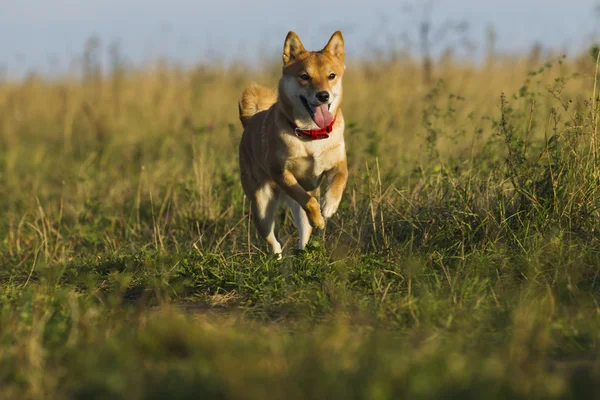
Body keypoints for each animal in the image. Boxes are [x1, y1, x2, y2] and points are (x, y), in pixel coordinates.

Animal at [236, 30, 346, 256]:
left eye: (331, 76)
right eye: (304, 76)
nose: (323, 95)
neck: (311, 133)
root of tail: (250, 121)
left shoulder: (338, 163)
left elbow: (339, 181)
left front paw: (329, 205)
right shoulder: (281, 173)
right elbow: (308, 200)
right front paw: (319, 219)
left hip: (295, 213)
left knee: (304, 234)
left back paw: (305, 255)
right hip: (261, 209)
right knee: (273, 241)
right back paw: (278, 258)